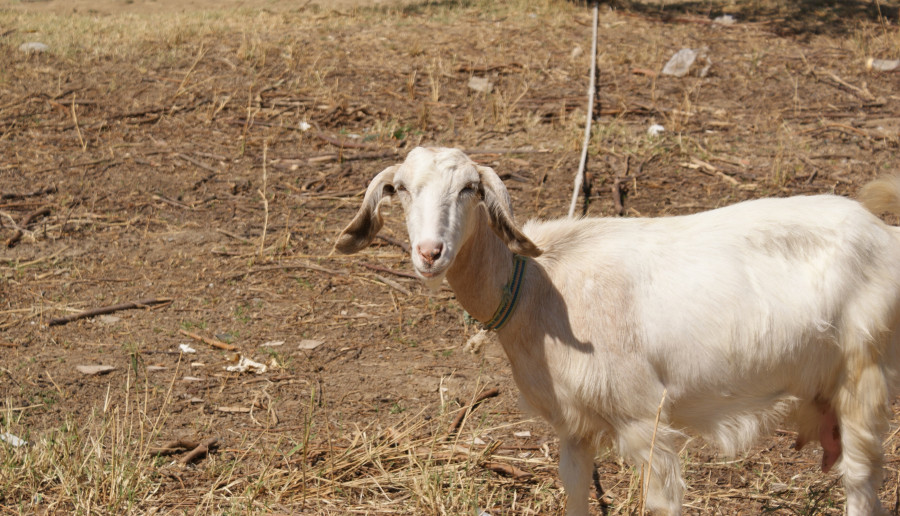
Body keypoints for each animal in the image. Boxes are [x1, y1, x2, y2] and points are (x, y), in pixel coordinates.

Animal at [334, 147, 900, 512]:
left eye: (469, 188)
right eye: (400, 190)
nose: (430, 253)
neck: (541, 287)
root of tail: (884, 233)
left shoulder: (645, 422)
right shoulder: (573, 427)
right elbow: (575, 493)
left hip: (863, 370)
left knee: (861, 479)